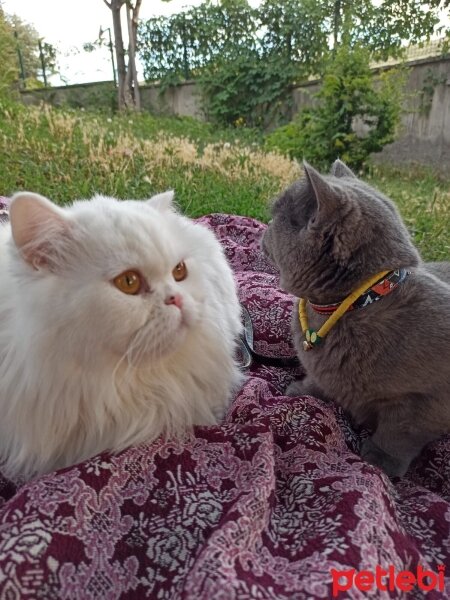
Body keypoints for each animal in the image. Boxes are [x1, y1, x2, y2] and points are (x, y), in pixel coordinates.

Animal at [262, 161, 450, 478]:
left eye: (276, 217)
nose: (264, 227)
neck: (356, 304)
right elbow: (321, 381)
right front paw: (302, 390)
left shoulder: (427, 401)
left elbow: (400, 431)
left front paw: (381, 458)